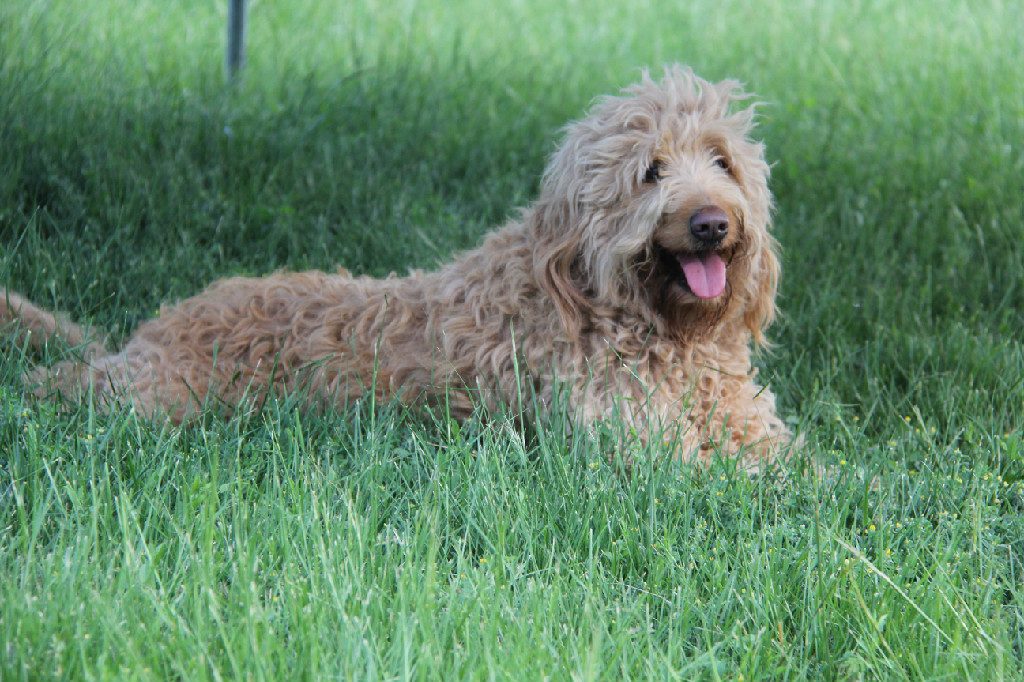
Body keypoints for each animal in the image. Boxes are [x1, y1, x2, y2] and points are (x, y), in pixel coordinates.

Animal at [2, 66, 790, 471]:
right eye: (650, 171)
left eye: (722, 161)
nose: (712, 223)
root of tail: (151, 330)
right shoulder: (640, 445)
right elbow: (743, 479)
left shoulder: (749, 422)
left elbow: (798, 466)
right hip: (153, 397)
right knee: (63, 383)